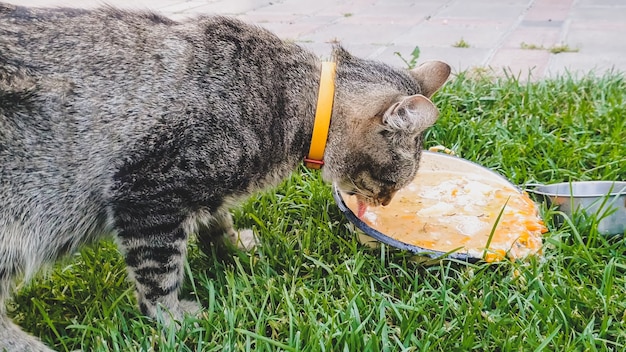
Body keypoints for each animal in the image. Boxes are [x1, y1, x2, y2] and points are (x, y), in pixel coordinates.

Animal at [0, 2, 448, 350]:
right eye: (392, 184)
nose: (384, 202)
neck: (292, 98)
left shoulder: (201, 190)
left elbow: (217, 220)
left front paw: (233, 247)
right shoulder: (149, 193)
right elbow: (158, 276)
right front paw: (175, 318)